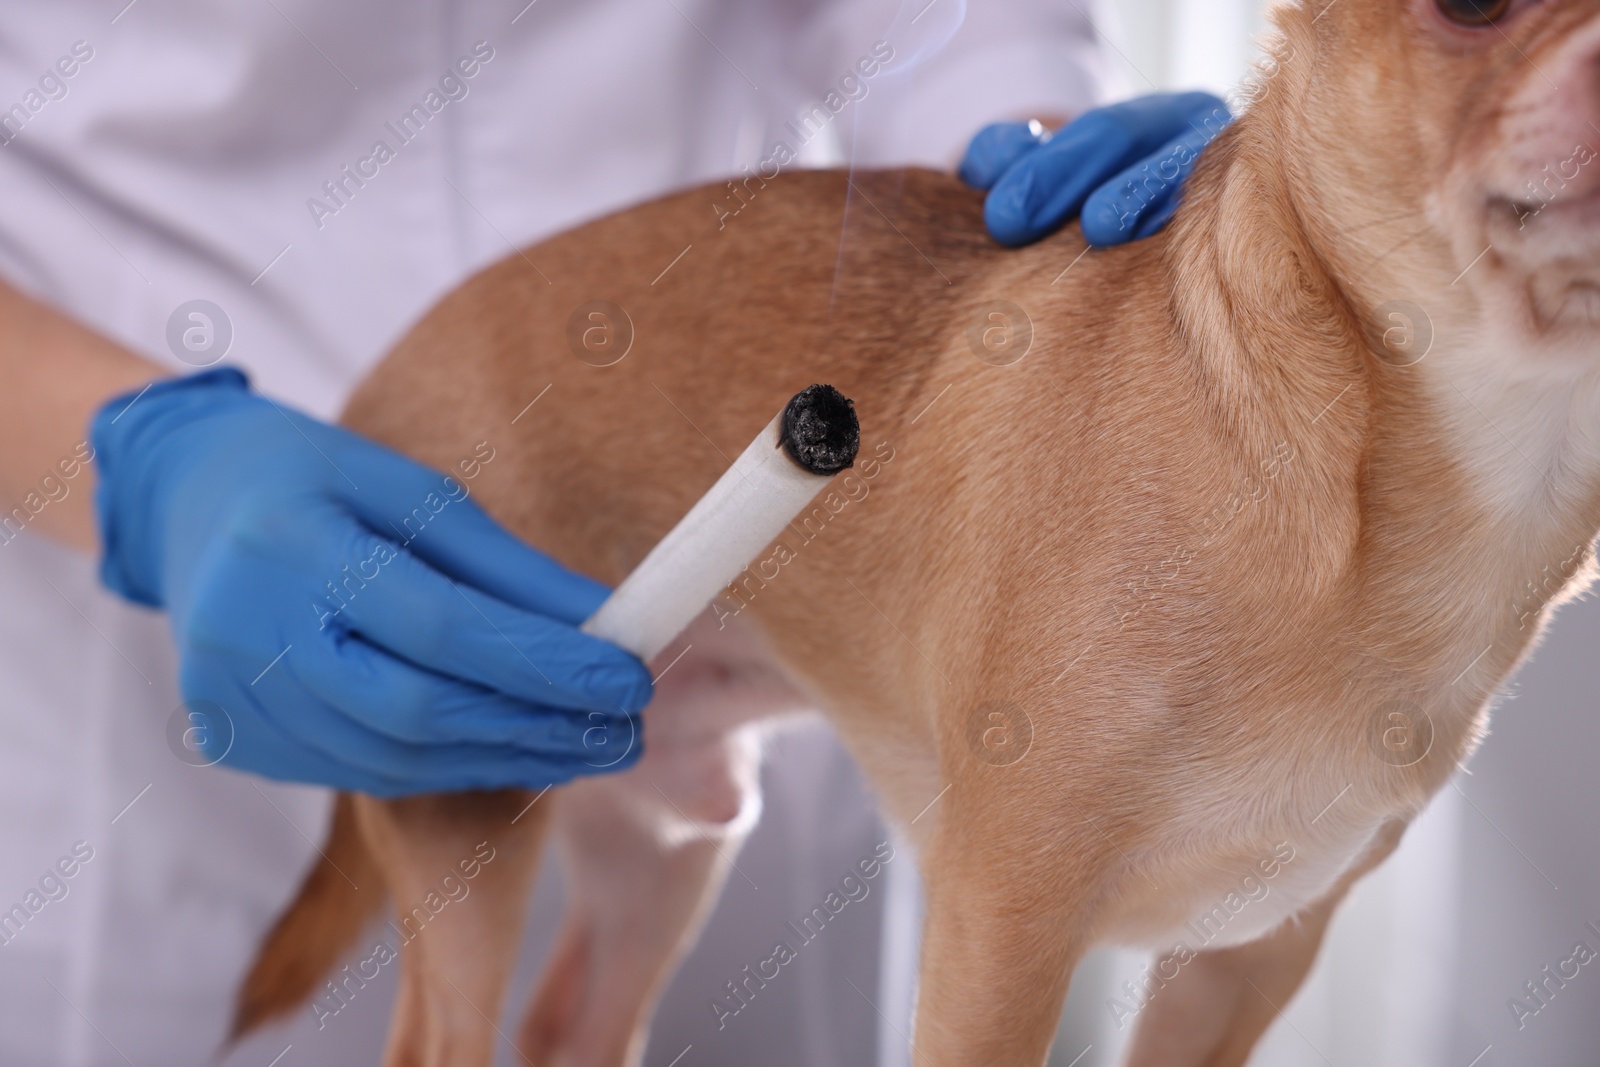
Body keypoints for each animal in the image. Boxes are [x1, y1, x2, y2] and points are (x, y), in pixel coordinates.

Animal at [228, 0, 1600, 1062]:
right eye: (1469, 5)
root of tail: (364, 397)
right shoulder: (1003, 930)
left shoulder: (1243, 962)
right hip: (469, 821)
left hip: (662, 844)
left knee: (572, 1020)